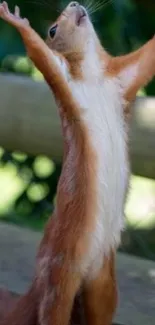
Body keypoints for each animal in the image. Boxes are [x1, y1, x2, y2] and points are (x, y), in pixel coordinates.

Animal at [0, 0, 154, 324]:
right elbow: (41, 56)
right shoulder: (65, 81)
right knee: (53, 311)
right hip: (59, 277)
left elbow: (148, 57)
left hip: (103, 285)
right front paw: (17, 21)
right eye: (52, 29)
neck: (94, 76)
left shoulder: (123, 77)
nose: (73, 3)